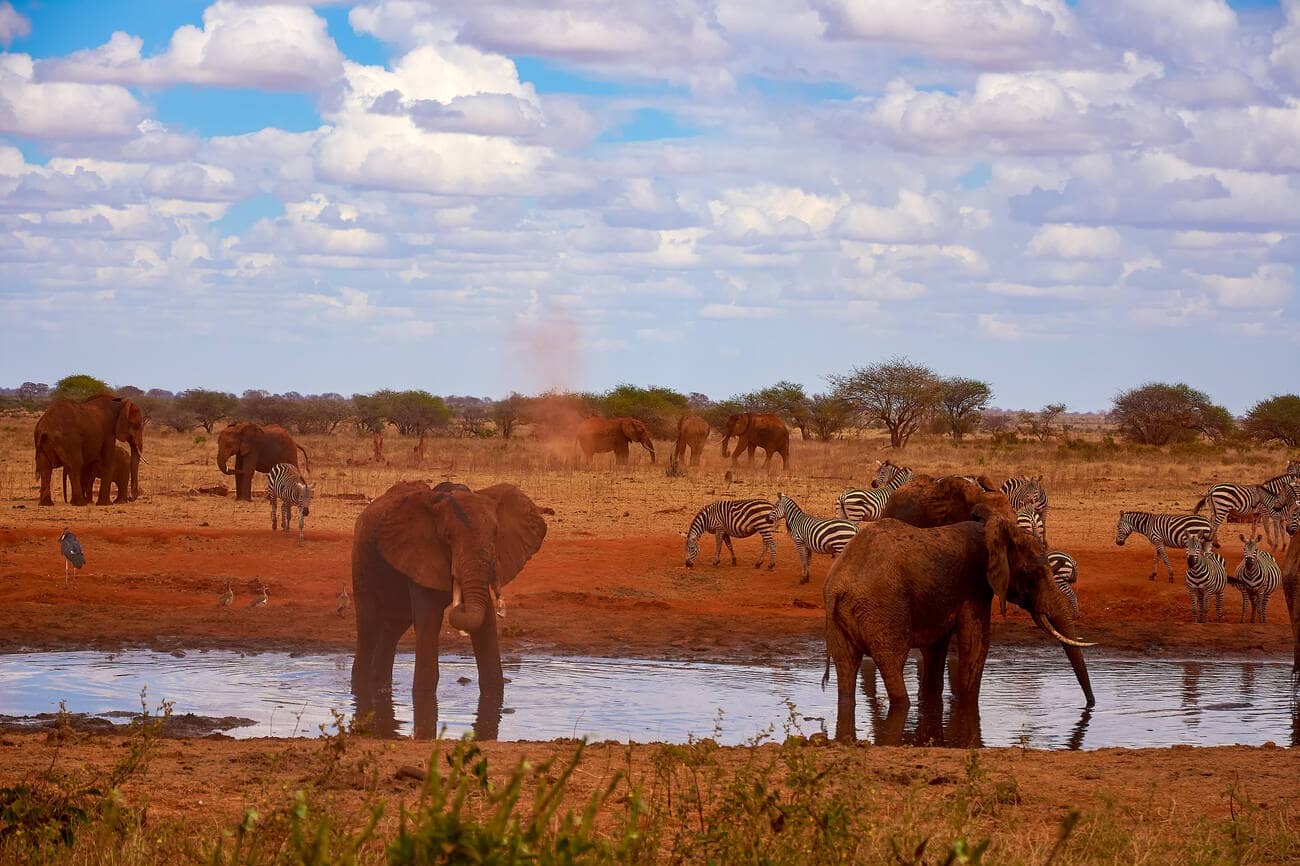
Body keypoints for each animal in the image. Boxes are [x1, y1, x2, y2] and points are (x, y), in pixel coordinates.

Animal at [348, 478, 546, 733]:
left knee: (393, 627)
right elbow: (430, 620)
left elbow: (486, 625)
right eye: (448, 538)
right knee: (369, 625)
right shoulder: (419, 553)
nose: (458, 606)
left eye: (495, 533)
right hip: (361, 561)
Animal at [821, 509, 1097, 738]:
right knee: (892, 664)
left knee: (846, 666)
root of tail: (839, 586)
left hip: (841, 620)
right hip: (884, 609)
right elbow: (976, 645)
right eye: (1034, 573)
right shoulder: (974, 586)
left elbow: (935, 650)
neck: (992, 529)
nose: (1091, 705)